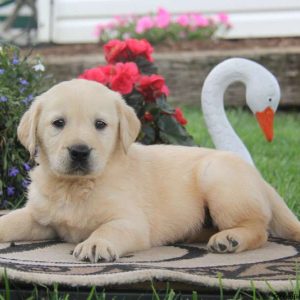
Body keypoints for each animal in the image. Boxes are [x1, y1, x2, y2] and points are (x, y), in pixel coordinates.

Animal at [0, 79, 300, 262]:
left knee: (259, 229)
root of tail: (258, 177)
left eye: (100, 124)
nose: (79, 151)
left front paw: (95, 243)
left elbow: (109, 229)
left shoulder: (131, 222)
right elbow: (11, 220)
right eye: (58, 123)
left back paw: (231, 238)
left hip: (218, 179)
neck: (75, 186)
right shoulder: (39, 218)